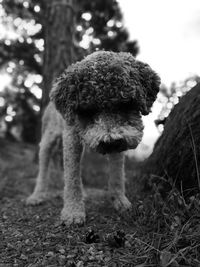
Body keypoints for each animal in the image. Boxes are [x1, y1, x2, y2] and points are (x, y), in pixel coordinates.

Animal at [26, 50, 161, 226]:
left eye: (126, 103)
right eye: (88, 109)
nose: (110, 142)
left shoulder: (119, 144)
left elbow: (117, 173)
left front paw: (119, 200)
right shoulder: (71, 137)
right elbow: (72, 176)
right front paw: (73, 211)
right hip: (47, 139)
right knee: (43, 166)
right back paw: (37, 195)